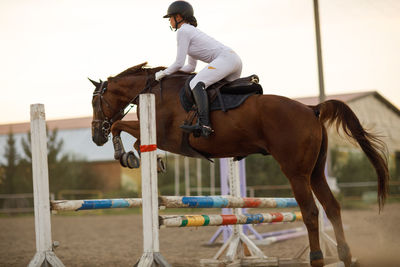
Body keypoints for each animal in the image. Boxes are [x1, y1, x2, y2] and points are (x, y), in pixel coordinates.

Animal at [90, 62, 388, 267]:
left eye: (95, 101)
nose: (95, 137)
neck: (151, 91)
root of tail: (312, 109)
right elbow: (132, 135)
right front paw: (150, 161)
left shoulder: (164, 135)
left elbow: (121, 127)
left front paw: (127, 156)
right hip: (315, 172)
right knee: (332, 207)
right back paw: (345, 256)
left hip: (296, 173)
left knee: (312, 212)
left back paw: (317, 258)